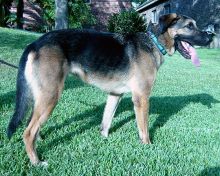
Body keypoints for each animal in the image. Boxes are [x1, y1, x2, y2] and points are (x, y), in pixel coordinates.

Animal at [6, 13, 213, 165]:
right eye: (189, 26)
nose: (211, 36)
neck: (154, 42)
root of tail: (35, 43)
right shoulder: (142, 98)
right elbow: (144, 129)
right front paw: (148, 147)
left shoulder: (115, 94)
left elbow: (106, 122)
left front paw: (104, 140)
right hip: (51, 95)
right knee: (28, 132)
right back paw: (36, 161)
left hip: (42, 96)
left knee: (31, 124)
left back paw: (39, 142)